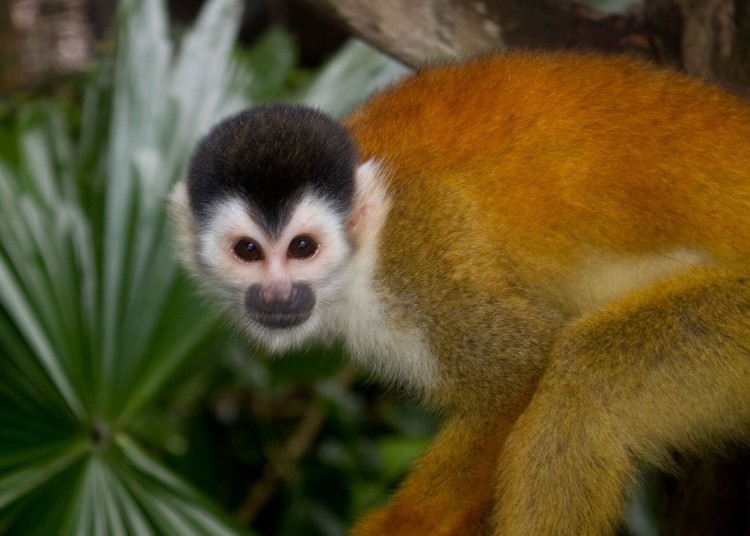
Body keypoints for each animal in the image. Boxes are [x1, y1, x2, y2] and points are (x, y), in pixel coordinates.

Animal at [169, 52, 750, 535]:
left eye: (303, 247)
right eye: (248, 250)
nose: (277, 294)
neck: (365, 250)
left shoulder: (419, 262)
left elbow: (519, 372)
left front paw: (402, 528)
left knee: (585, 381)